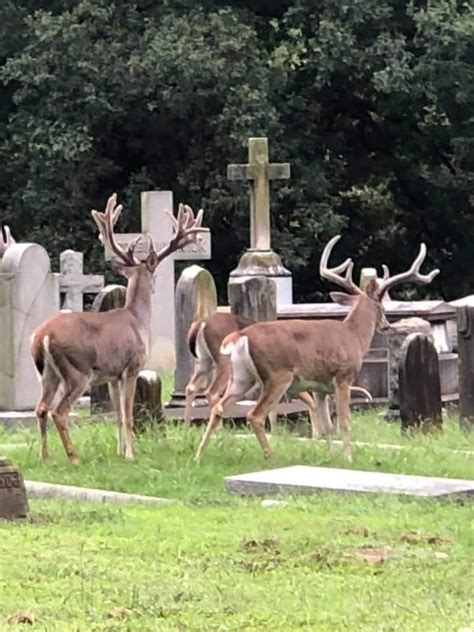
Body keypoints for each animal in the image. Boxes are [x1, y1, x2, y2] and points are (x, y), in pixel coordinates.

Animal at [31, 193, 206, 464]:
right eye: (154, 273)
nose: (154, 285)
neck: (137, 319)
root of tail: (43, 336)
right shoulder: (131, 368)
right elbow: (128, 413)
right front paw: (131, 455)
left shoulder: (111, 375)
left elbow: (118, 416)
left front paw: (119, 451)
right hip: (77, 370)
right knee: (58, 412)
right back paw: (74, 457)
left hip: (48, 373)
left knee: (41, 409)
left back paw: (45, 457)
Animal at [194, 235, 438, 462]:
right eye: (381, 305)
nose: (386, 325)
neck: (354, 335)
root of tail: (240, 336)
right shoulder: (343, 377)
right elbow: (344, 422)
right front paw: (348, 458)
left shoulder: (319, 387)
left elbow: (327, 424)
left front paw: (330, 457)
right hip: (276, 375)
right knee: (254, 415)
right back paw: (271, 457)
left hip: (242, 376)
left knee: (218, 408)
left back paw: (199, 455)